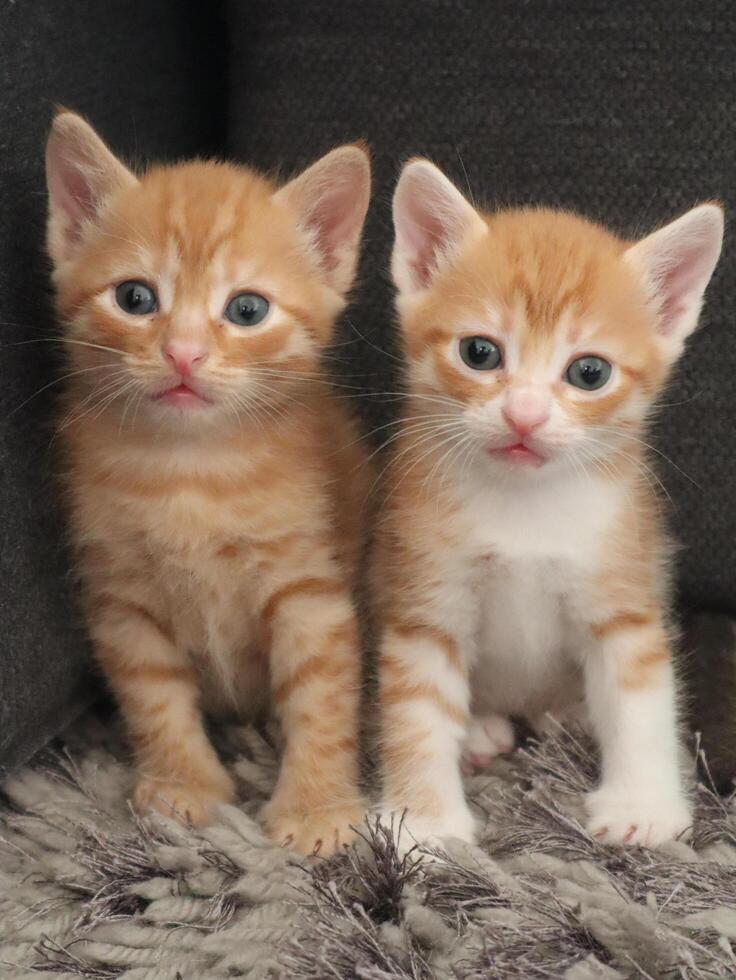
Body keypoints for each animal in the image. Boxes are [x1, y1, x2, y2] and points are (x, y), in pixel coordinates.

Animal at [44, 111, 374, 852]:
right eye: (135, 298)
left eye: (246, 310)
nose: (184, 353)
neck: (192, 469)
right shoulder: (120, 597)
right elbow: (152, 694)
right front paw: (184, 785)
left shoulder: (308, 588)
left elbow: (321, 694)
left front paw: (316, 806)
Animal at [376, 157, 720, 848]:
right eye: (479, 353)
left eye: (589, 372)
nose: (525, 415)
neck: (524, 504)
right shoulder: (425, 595)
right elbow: (417, 712)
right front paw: (423, 824)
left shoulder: (623, 588)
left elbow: (641, 698)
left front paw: (643, 804)